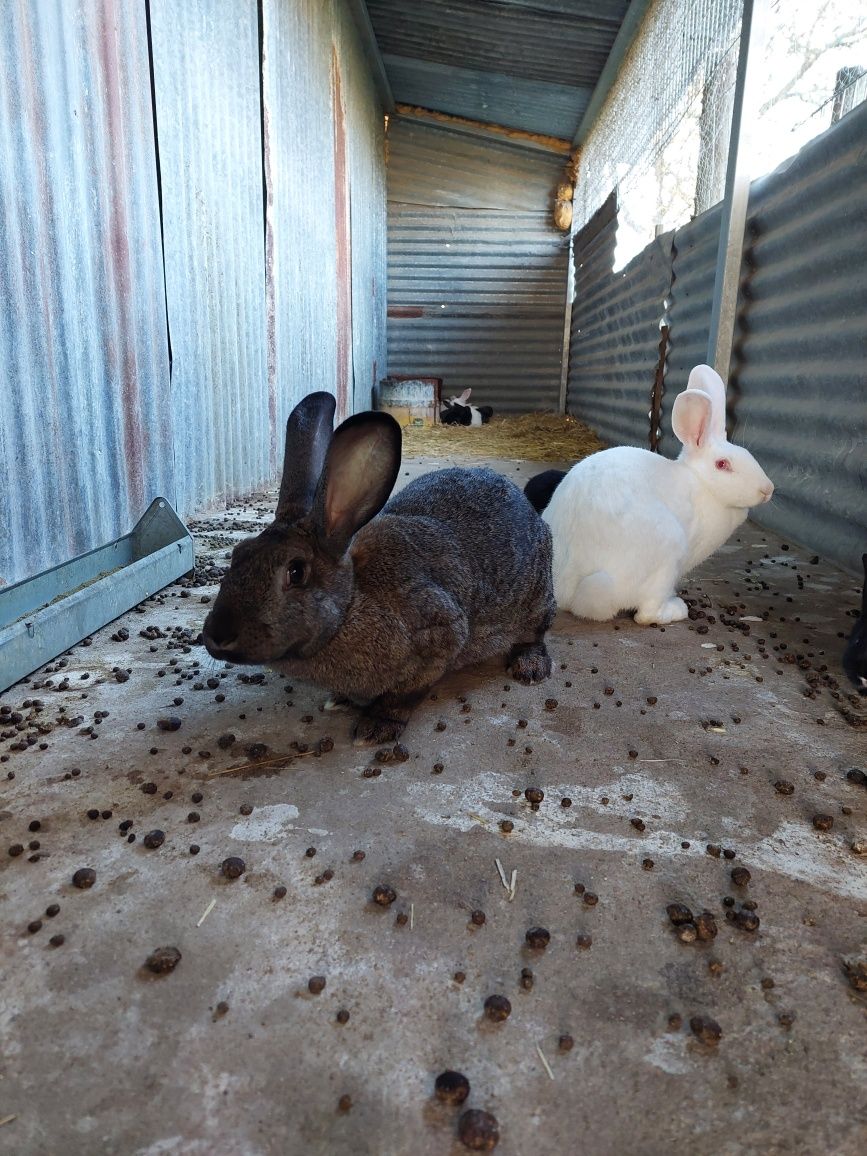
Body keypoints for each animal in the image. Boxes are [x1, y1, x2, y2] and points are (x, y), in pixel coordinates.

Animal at [203, 393, 557, 744]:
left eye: (296, 572)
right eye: (237, 554)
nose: (217, 636)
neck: (349, 605)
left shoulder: (441, 634)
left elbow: (404, 695)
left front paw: (376, 727)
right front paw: (340, 700)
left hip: (535, 599)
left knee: (535, 632)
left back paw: (529, 667)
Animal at [543, 367, 772, 624]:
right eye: (722, 464)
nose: (768, 490)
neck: (700, 483)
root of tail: (569, 589)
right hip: (666, 558)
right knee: (646, 614)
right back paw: (676, 609)